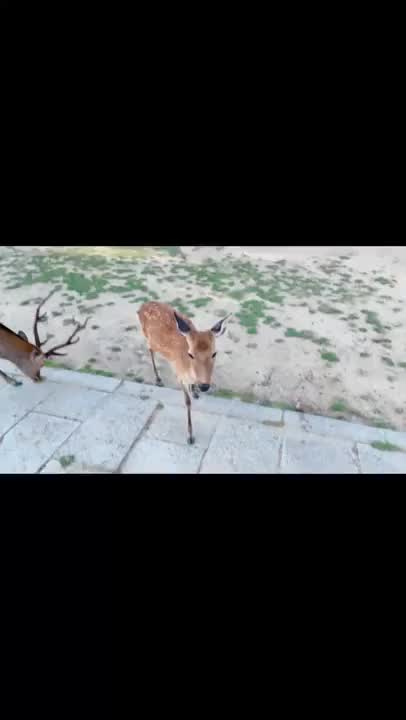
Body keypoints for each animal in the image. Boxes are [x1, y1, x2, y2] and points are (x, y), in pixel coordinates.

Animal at [138, 301, 231, 445]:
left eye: (214, 353)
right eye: (190, 354)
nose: (204, 386)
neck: (188, 370)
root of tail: (142, 306)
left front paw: (195, 392)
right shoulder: (179, 376)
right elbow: (187, 402)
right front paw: (190, 436)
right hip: (147, 336)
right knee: (150, 349)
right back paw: (158, 379)